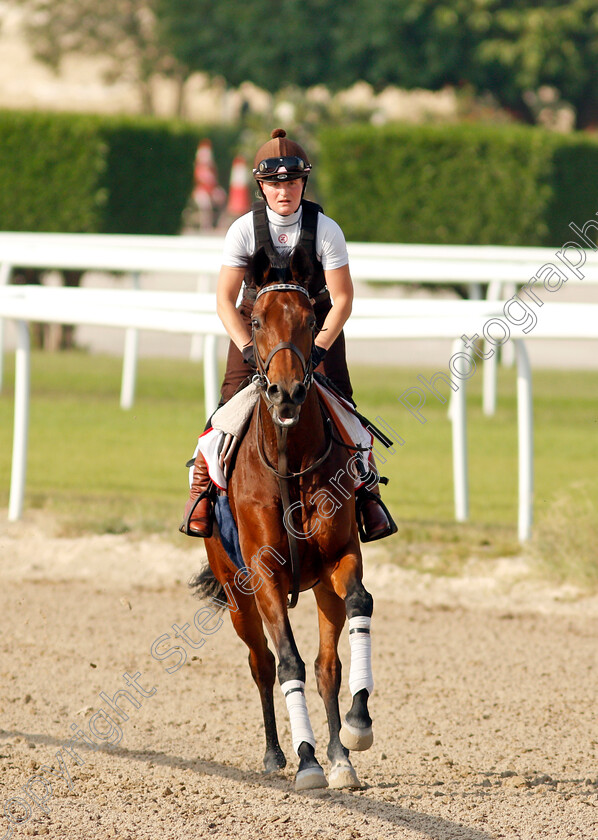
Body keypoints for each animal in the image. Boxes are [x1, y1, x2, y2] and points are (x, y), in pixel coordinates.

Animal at [193, 246, 376, 792]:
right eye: (256, 320)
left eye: (311, 319)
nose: (287, 392)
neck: (290, 464)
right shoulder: (265, 574)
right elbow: (286, 661)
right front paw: (306, 760)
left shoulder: (340, 556)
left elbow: (358, 605)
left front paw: (354, 730)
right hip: (236, 592)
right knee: (262, 662)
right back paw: (277, 754)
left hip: (318, 587)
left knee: (327, 665)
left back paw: (340, 755)